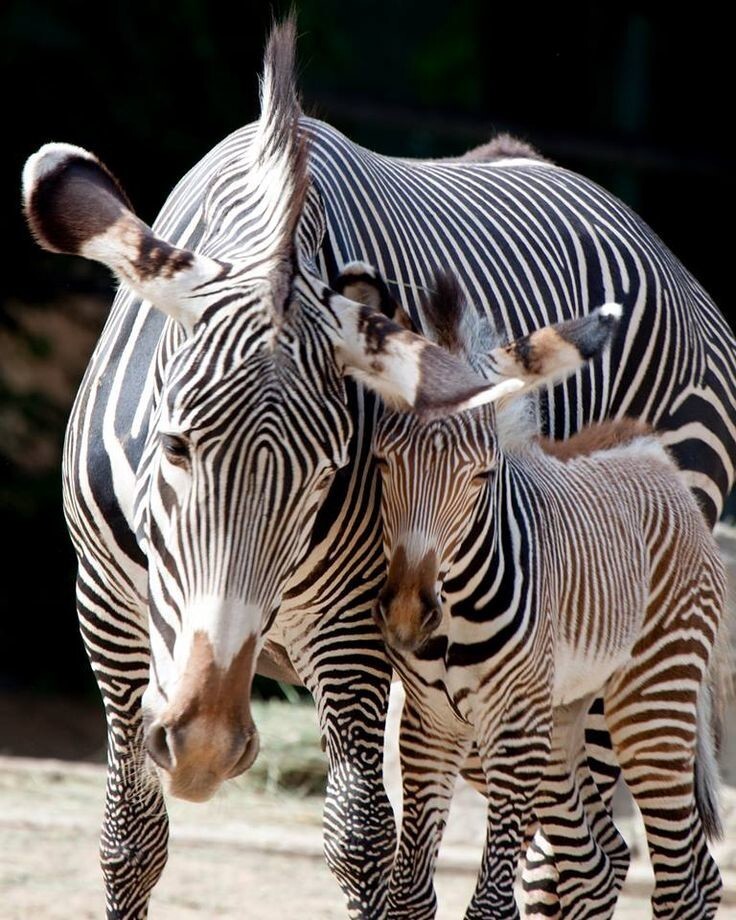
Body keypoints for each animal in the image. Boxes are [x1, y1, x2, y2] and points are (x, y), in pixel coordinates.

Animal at [364, 272, 724, 920]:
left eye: (483, 474)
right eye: (381, 461)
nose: (405, 614)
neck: (458, 607)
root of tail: (650, 450)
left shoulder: (513, 733)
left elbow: (487, 903)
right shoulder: (430, 727)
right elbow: (408, 894)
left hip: (652, 697)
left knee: (683, 880)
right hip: (562, 714)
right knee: (598, 862)